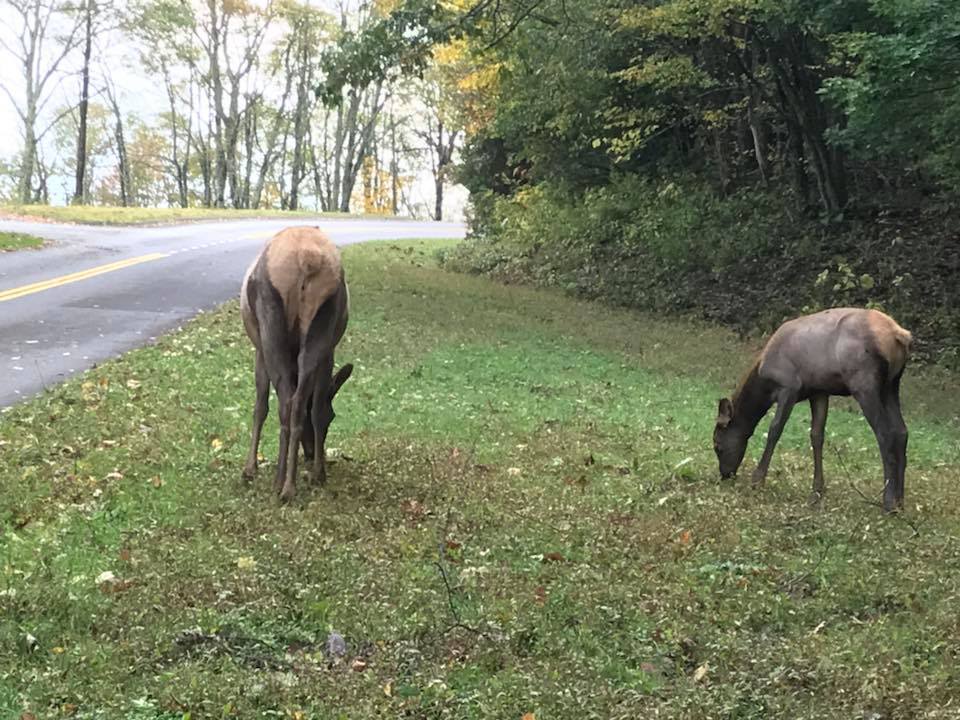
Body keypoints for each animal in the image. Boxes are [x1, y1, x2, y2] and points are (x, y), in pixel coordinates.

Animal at [239, 226, 353, 502]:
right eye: (335, 417)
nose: (310, 453)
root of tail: (306, 258)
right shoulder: (328, 352)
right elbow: (316, 407)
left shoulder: (259, 349)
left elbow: (260, 407)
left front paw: (250, 468)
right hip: (322, 326)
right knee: (301, 402)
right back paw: (300, 481)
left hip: (271, 324)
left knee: (286, 402)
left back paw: (282, 482)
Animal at [713, 308, 912, 512]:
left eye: (717, 445)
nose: (725, 475)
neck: (764, 384)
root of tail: (901, 336)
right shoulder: (819, 392)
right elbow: (817, 435)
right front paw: (816, 491)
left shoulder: (789, 387)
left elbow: (774, 430)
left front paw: (757, 480)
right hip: (891, 384)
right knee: (901, 431)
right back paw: (900, 500)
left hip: (864, 383)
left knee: (885, 433)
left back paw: (888, 502)